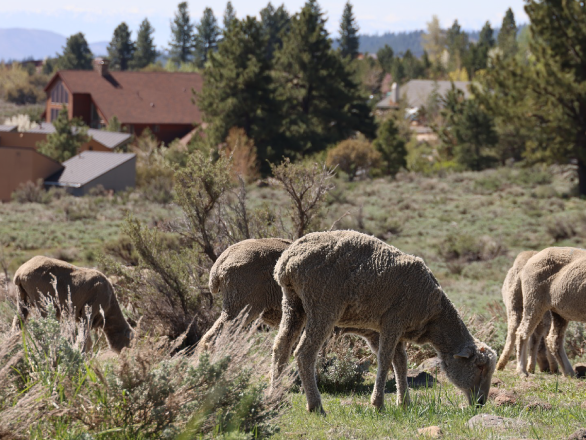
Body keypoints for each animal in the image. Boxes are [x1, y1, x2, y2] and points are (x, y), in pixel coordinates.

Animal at [270, 230, 492, 412]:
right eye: (479, 367)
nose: (481, 403)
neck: (435, 317)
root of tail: (288, 261)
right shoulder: (393, 321)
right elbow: (385, 360)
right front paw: (378, 404)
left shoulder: (383, 330)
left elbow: (400, 362)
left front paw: (404, 403)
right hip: (323, 305)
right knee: (304, 352)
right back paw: (315, 405)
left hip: (292, 303)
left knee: (281, 346)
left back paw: (276, 397)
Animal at [512, 246, 584, 376]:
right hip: (534, 301)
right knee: (522, 333)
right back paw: (521, 371)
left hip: (559, 312)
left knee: (554, 339)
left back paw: (569, 372)